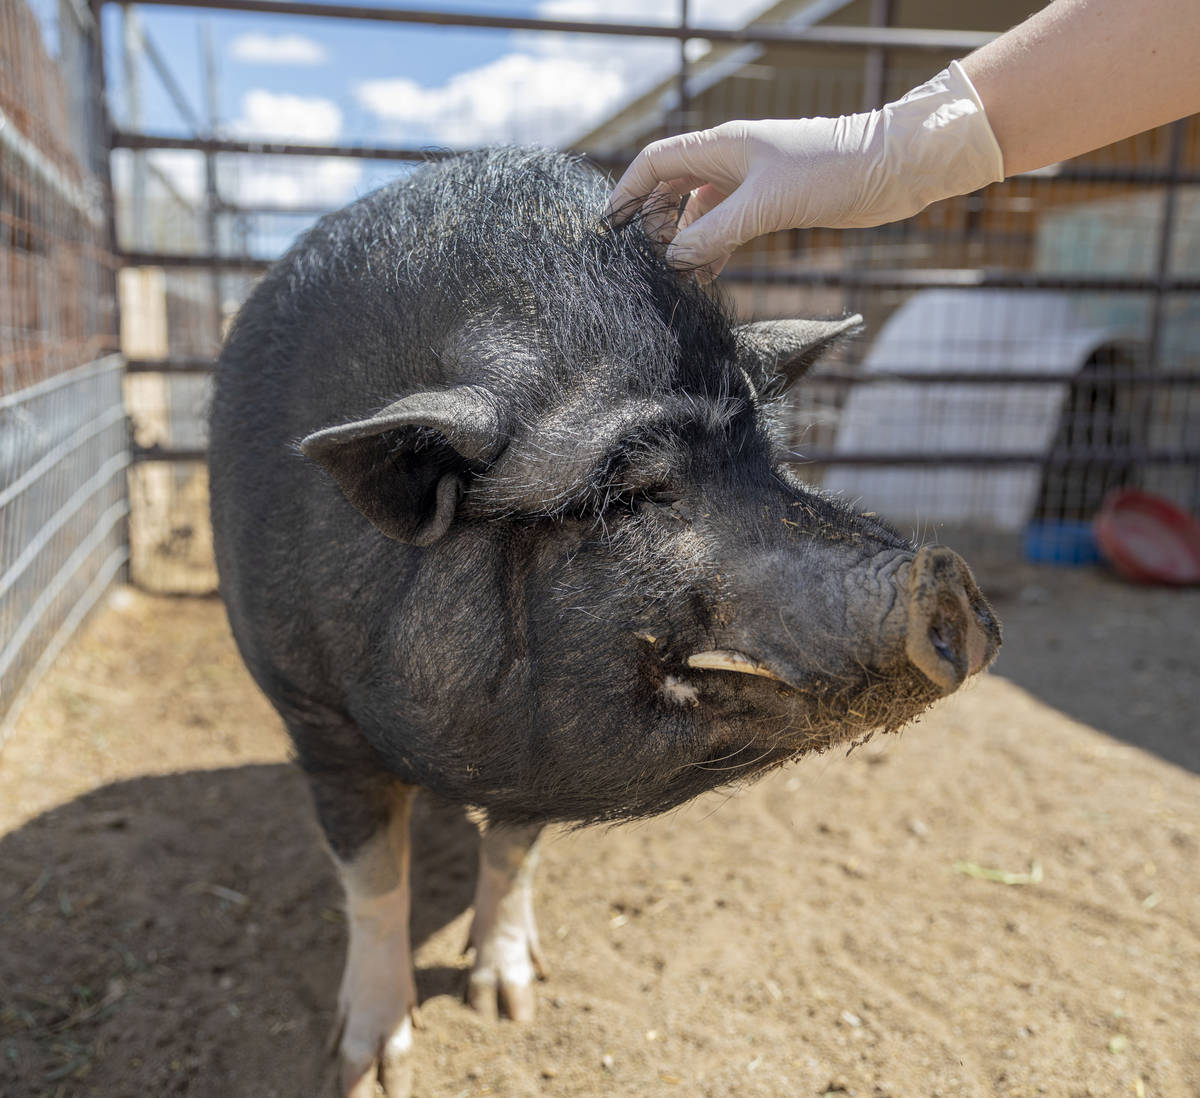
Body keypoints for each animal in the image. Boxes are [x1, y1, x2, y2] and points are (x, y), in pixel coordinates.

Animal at [211, 148, 998, 1098]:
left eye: (771, 463)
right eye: (628, 496)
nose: (944, 575)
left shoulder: (537, 752)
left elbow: (513, 853)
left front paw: (508, 1003)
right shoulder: (312, 708)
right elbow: (373, 879)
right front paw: (369, 1066)